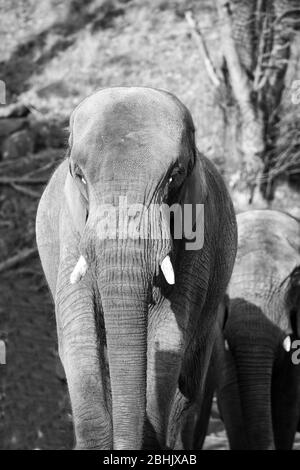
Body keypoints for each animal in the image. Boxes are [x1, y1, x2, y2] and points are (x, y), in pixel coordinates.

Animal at [35, 86, 237, 450]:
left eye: (175, 175)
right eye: (79, 175)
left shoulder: (198, 238)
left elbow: (169, 339)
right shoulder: (70, 232)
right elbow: (78, 334)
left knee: (189, 385)